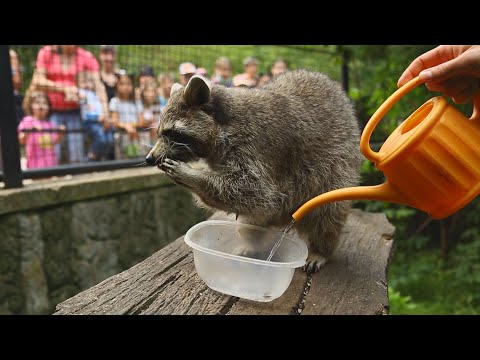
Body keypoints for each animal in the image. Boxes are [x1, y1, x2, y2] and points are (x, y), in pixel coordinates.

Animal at [147, 69, 364, 272]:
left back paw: (321, 249)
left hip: (337, 168)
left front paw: (194, 177)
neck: (223, 126)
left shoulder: (256, 146)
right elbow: (247, 197)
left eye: (171, 133)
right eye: (159, 133)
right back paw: (253, 245)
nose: (149, 158)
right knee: (252, 224)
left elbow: (254, 190)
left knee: (327, 214)